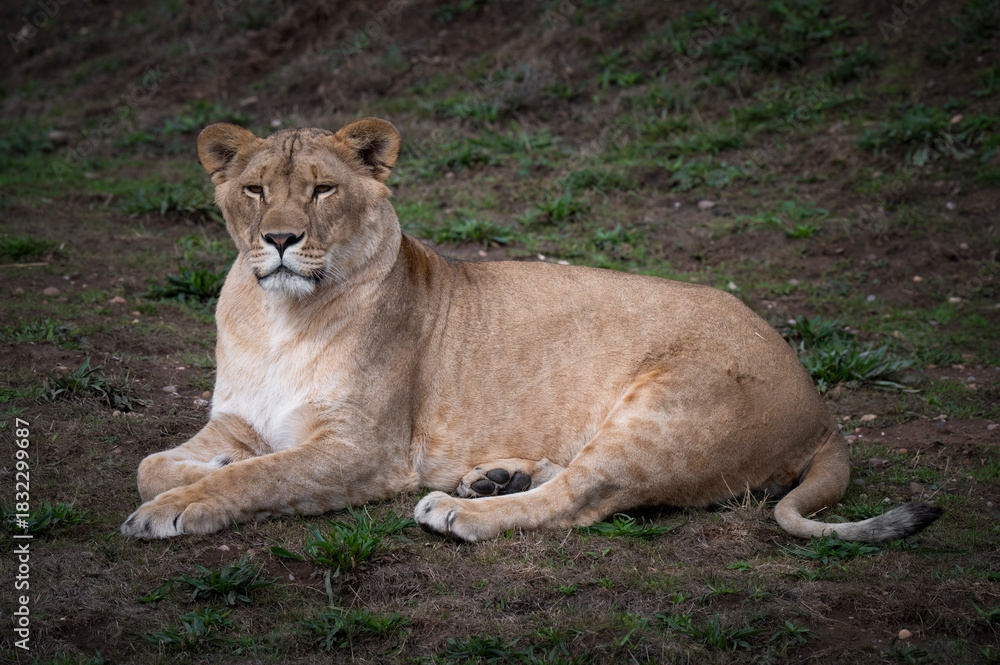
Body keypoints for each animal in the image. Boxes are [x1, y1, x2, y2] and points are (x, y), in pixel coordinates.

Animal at [121, 118, 941, 543]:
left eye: (322, 189)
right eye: (255, 189)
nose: (282, 239)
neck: (279, 316)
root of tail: (821, 406)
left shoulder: (366, 450)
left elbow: (264, 474)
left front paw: (182, 506)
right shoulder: (237, 417)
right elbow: (155, 462)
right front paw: (197, 472)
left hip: (667, 410)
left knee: (588, 495)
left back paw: (462, 507)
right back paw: (494, 476)